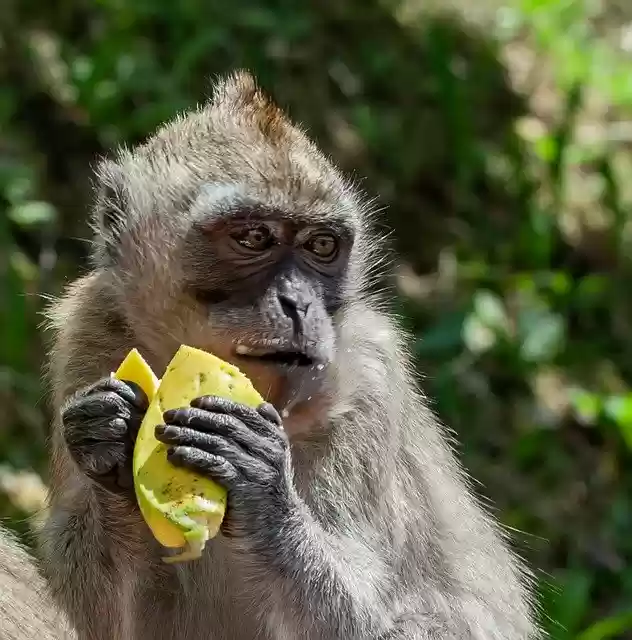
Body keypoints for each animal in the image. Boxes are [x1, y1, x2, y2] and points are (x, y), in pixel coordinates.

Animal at [38, 70, 541, 640]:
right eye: (254, 236)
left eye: (321, 247)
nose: (298, 303)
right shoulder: (88, 332)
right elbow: (103, 619)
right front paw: (107, 435)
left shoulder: (371, 377)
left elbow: (372, 615)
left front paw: (262, 487)